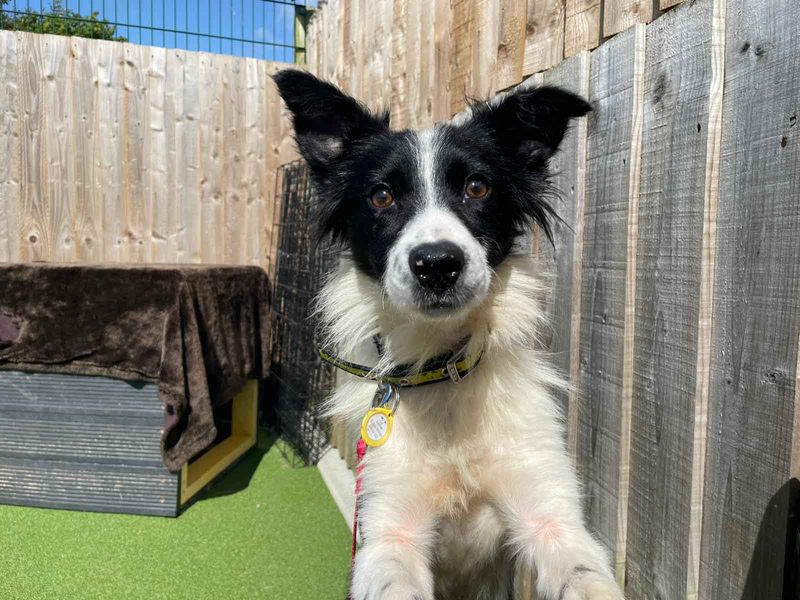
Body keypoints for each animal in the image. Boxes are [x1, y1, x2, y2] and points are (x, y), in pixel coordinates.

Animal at [276, 68, 624, 600]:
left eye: (478, 187)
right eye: (381, 196)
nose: (437, 265)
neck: (441, 373)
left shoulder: (552, 517)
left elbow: (585, 573)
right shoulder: (388, 531)